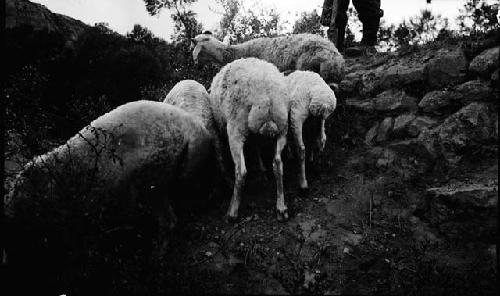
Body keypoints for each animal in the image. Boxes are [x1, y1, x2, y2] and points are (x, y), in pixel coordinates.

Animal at [210, 57, 290, 220]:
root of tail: (266, 96)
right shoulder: (255, 136)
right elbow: (256, 148)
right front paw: (261, 169)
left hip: (235, 128)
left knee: (241, 171)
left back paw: (232, 212)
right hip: (282, 127)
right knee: (278, 163)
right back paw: (281, 207)